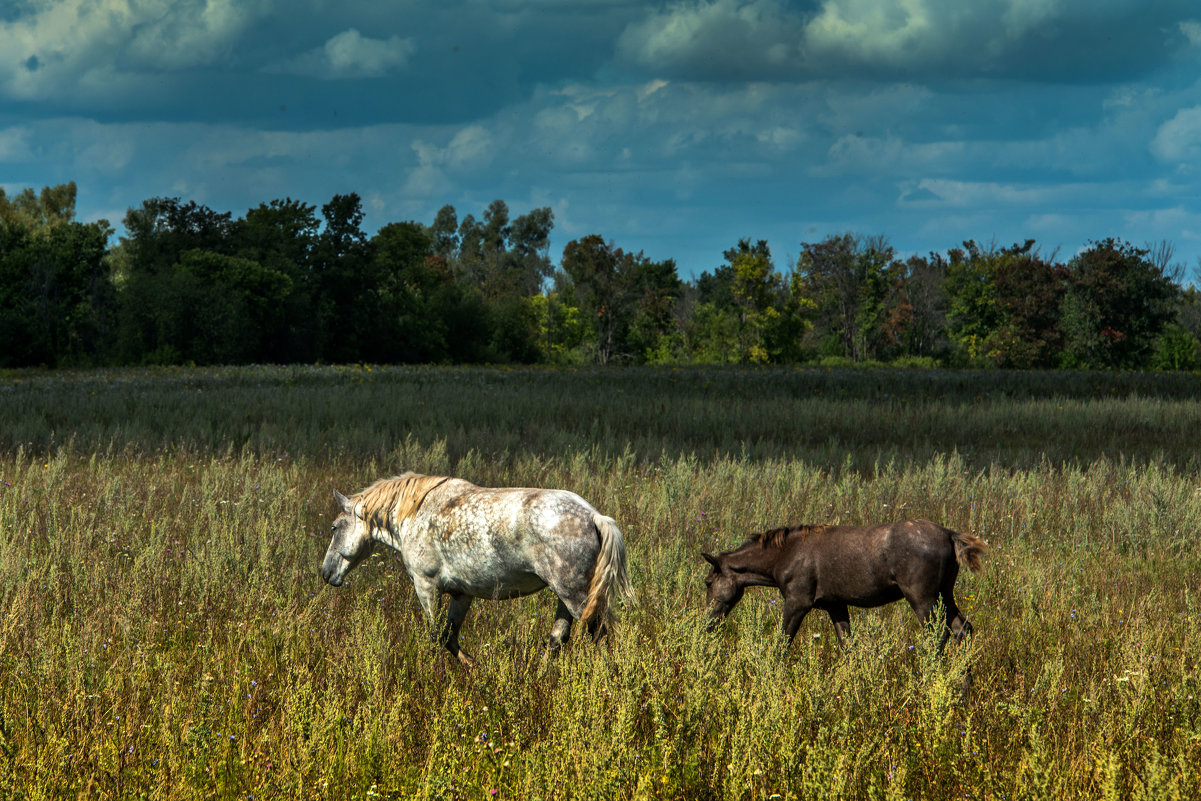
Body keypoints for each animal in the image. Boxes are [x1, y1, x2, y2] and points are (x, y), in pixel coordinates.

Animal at [319, 473, 638, 667]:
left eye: (334, 527)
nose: (325, 573)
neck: (416, 513)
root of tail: (594, 516)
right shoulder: (462, 594)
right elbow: (449, 636)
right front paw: (474, 668)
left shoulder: (425, 586)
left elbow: (436, 635)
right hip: (565, 595)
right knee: (557, 638)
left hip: (575, 595)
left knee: (599, 635)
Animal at [701, 523, 989, 648]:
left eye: (707, 582)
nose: (708, 624)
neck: (784, 556)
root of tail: (951, 536)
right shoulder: (835, 605)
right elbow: (847, 645)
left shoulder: (797, 602)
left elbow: (782, 644)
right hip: (945, 595)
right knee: (963, 630)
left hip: (923, 599)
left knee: (938, 637)